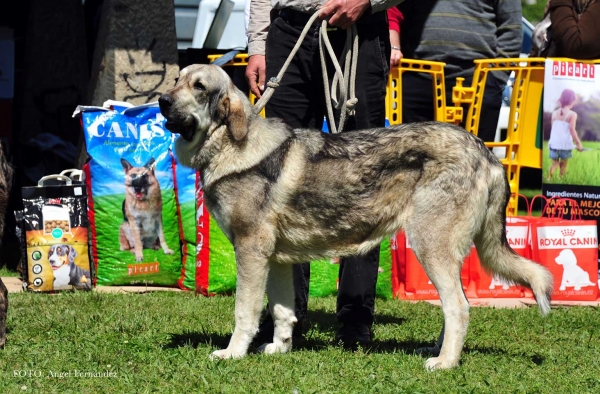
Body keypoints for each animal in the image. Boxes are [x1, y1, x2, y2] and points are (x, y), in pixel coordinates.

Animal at [158, 63, 552, 370]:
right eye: (177, 79)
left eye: (199, 87)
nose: (162, 101)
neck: (227, 145)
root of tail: (486, 152)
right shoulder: (277, 259)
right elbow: (283, 311)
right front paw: (278, 349)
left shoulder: (251, 252)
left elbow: (245, 312)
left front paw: (232, 354)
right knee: (457, 306)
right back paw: (438, 351)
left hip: (430, 247)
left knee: (459, 308)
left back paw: (444, 363)